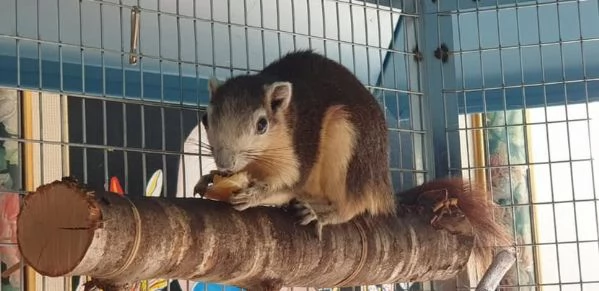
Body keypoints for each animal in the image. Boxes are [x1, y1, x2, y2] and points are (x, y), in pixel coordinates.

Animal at [195, 50, 396, 241]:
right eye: (204, 119)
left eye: (262, 125)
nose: (225, 164)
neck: (260, 158)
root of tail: (381, 185)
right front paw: (210, 176)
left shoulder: (300, 152)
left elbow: (288, 184)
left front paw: (253, 195)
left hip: (350, 147)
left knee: (351, 205)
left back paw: (320, 214)